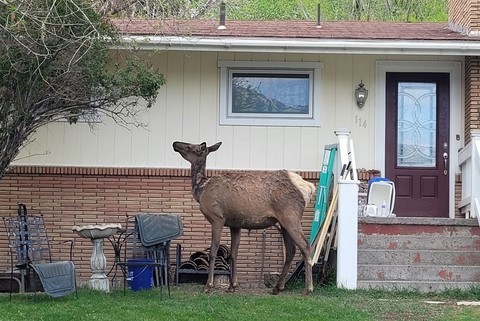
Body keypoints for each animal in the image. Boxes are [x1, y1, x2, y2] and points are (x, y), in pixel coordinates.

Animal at [172, 140, 316, 292]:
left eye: (190, 146)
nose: (175, 143)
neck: (201, 191)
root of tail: (309, 187)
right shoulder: (235, 224)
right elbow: (234, 254)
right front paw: (232, 286)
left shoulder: (217, 218)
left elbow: (213, 252)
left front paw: (208, 286)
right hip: (284, 221)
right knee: (290, 250)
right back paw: (278, 287)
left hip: (291, 217)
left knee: (306, 246)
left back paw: (308, 288)